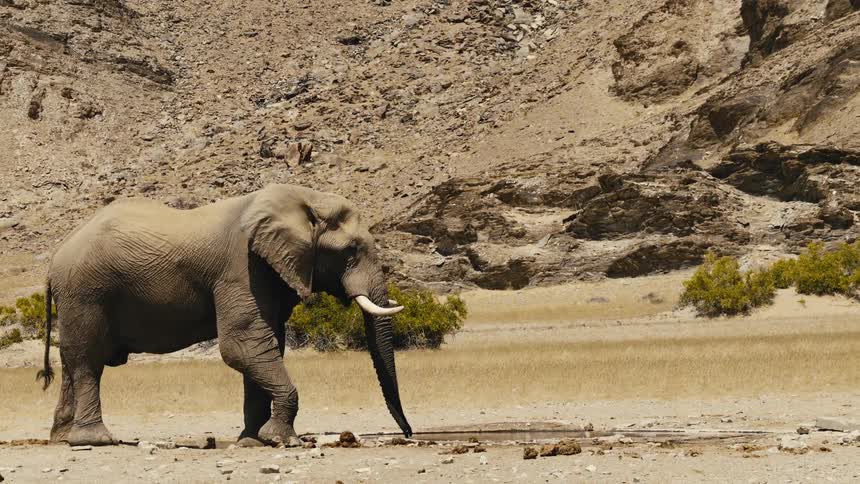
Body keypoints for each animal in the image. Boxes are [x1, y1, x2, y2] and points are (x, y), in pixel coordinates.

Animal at [35, 184, 412, 447]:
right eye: (351, 251)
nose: (408, 435)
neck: (302, 199)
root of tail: (55, 260)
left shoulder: (267, 273)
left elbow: (266, 347)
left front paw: (253, 441)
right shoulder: (240, 268)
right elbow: (242, 346)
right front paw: (282, 440)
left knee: (71, 363)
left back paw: (62, 439)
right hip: (86, 292)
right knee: (88, 362)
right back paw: (95, 440)